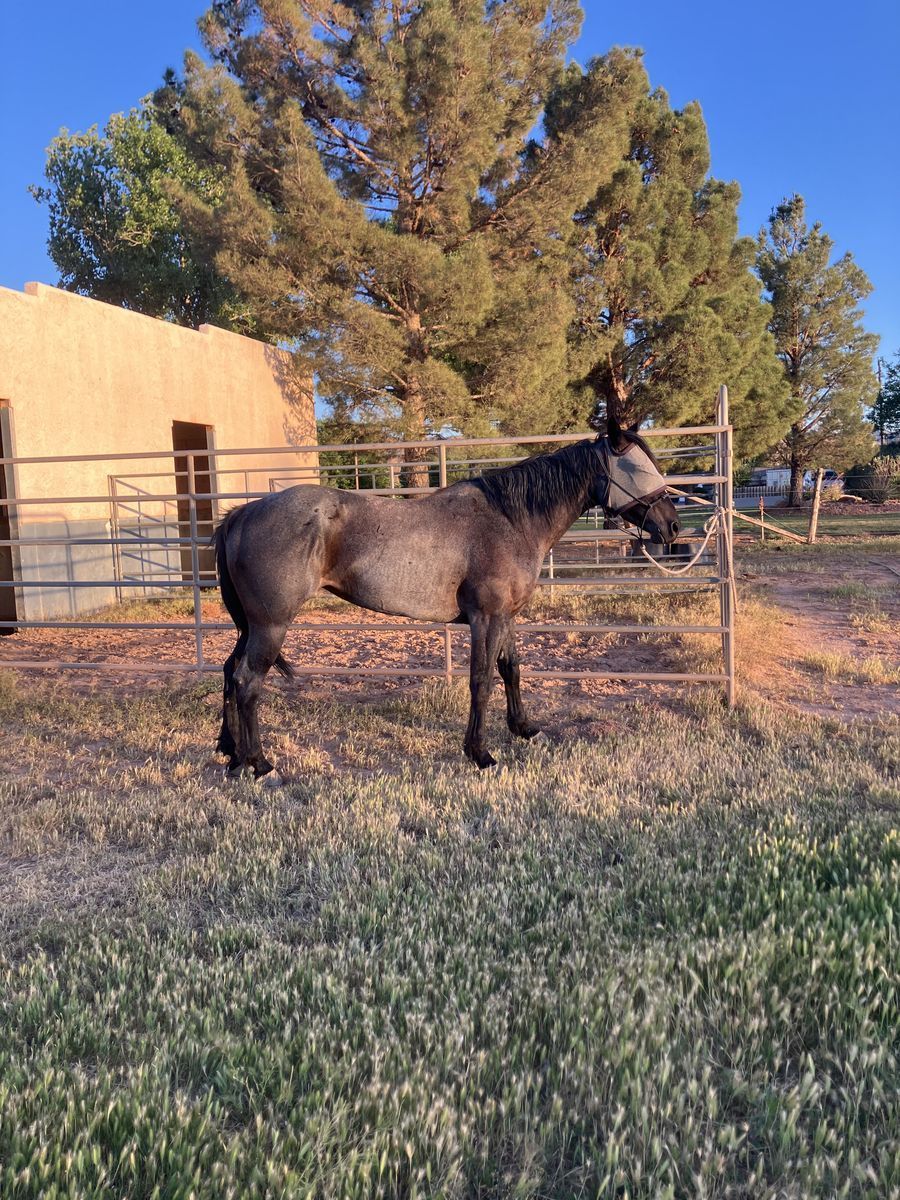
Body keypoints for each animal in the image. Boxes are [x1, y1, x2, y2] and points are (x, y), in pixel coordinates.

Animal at [213, 416, 680, 776]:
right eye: (639, 468)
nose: (672, 527)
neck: (509, 520)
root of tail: (243, 513)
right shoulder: (485, 618)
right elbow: (482, 680)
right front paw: (480, 753)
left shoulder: (507, 616)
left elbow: (511, 670)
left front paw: (524, 728)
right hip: (271, 626)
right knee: (248, 682)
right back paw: (259, 763)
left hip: (251, 627)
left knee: (229, 672)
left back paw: (230, 753)